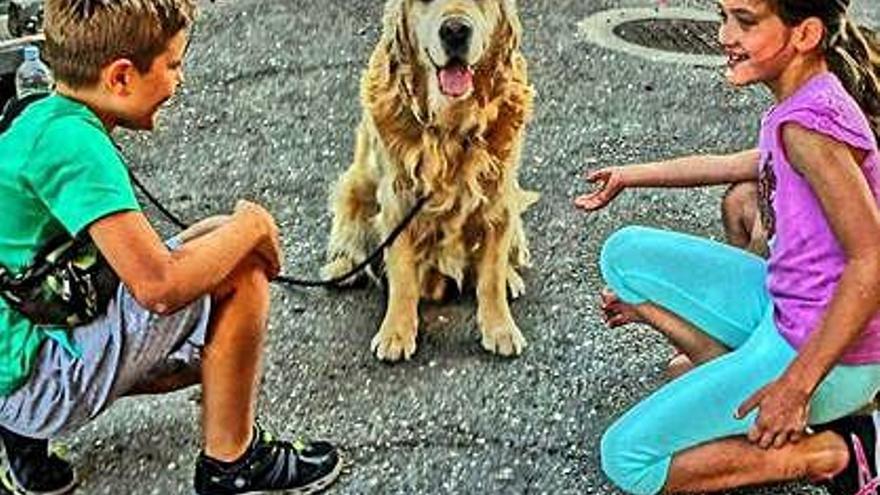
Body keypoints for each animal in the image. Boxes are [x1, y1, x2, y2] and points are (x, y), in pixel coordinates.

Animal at [320, 0, 532, 364]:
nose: (455, 31)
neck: (451, 127)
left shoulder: (500, 196)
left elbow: (490, 273)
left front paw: (500, 328)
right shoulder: (398, 199)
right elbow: (402, 274)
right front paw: (396, 333)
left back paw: (510, 277)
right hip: (354, 185)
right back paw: (341, 267)